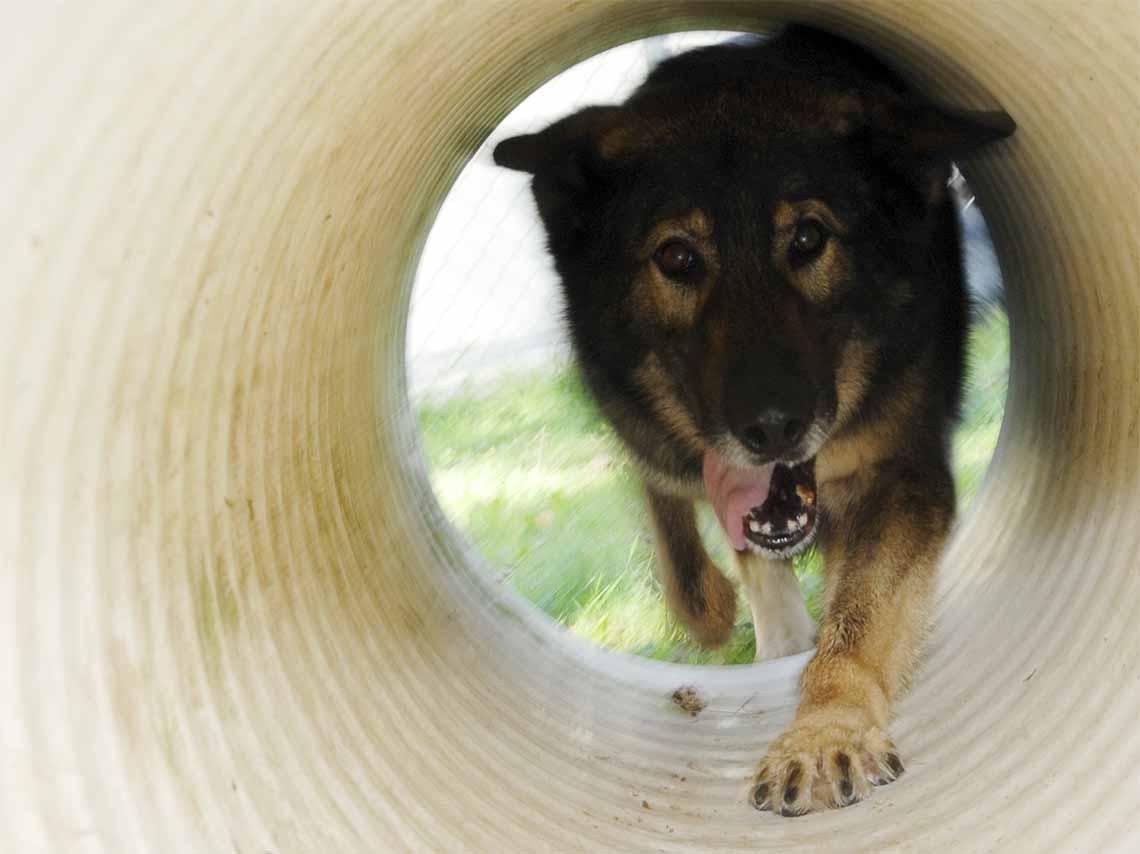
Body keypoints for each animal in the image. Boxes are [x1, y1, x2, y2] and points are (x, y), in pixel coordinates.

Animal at [494, 24, 1012, 811]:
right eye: (677, 257)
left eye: (808, 239)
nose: (772, 429)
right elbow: (708, 539)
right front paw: (736, 619)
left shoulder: (902, 472)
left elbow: (859, 617)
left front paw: (825, 729)